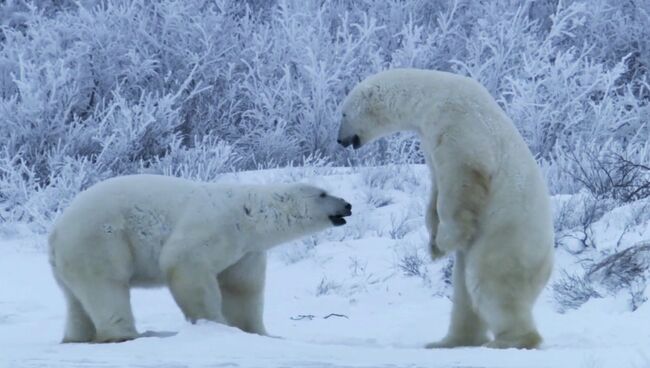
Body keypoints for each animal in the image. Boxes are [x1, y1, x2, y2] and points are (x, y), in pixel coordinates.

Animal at [48, 175, 352, 342]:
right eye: (323, 193)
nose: (347, 204)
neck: (250, 214)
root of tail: (55, 230)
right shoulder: (217, 224)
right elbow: (184, 264)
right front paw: (215, 324)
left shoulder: (246, 250)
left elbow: (242, 288)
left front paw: (257, 332)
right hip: (100, 239)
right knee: (107, 286)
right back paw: (128, 334)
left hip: (70, 258)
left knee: (76, 300)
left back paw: (75, 337)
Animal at [340, 68, 552, 348]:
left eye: (343, 113)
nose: (340, 140)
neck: (431, 95)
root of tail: (547, 268)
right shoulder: (429, 140)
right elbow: (435, 191)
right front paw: (432, 242)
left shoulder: (456, 125)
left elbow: (460, 181)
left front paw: (443, 242)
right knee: (463, 293)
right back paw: (450, 341)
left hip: (506, 239)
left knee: (490, 283)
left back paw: (510, 340)